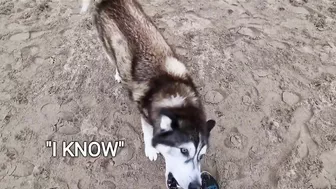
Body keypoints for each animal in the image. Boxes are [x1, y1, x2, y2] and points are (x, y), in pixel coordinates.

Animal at [82, 0, 215, 188]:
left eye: (201, 156)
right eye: (183, 150)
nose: (197, 186)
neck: (174, 92)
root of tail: (107, 1)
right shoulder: (145, 116)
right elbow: (148, 134)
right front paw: (151, 150)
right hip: (108, 48)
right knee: (114, 61)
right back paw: (118, 74)